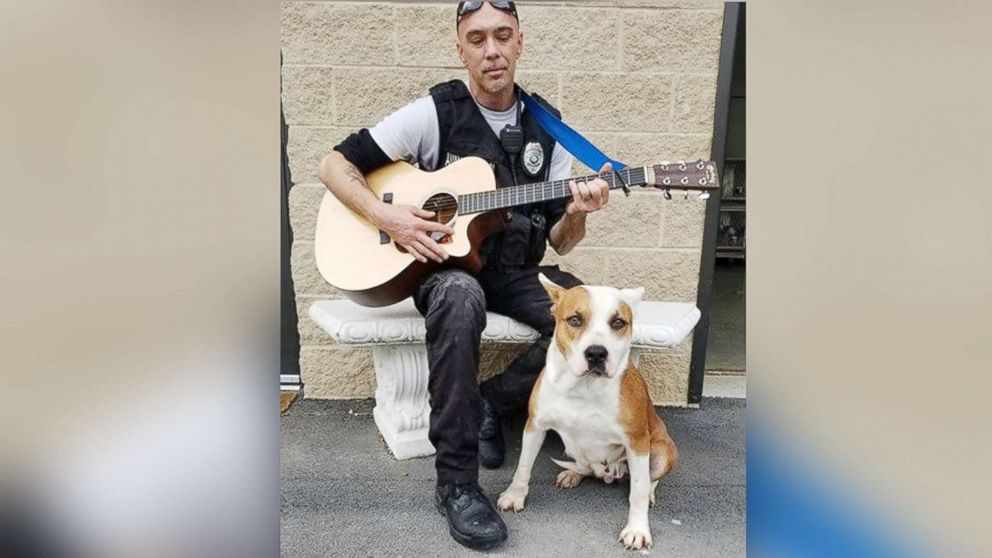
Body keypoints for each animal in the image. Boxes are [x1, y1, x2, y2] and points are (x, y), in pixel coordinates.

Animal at [496, 274, 680, 552]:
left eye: (618, 323)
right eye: (575, 320)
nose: (596, 353)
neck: (583, 387)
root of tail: (609, 472)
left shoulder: (637, 441)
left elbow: (637, 491)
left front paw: (637, 529)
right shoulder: (535, 426)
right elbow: (523, 466)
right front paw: (515, 495)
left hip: (662, 450)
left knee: (649, 479)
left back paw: (648, 491)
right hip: (572, 447)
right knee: (586, 467)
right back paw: (573, 474)